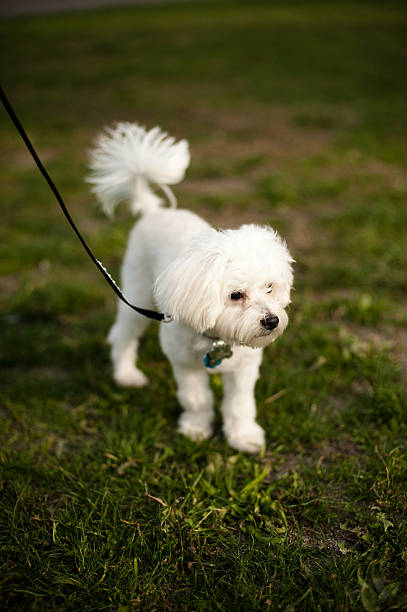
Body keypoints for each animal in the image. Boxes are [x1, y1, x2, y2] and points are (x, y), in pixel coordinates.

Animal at [87, 122, 294, 452]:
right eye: (236, 295)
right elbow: (197, 400)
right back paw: (126, 374)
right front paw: (196, 430)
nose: (272, 321)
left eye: (269, 287)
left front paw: (243, 436)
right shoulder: (184, 364)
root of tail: (153, 211)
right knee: (122, 334)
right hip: (136, 293)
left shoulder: (245, 369)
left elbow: (240, 405)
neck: (217, 338)